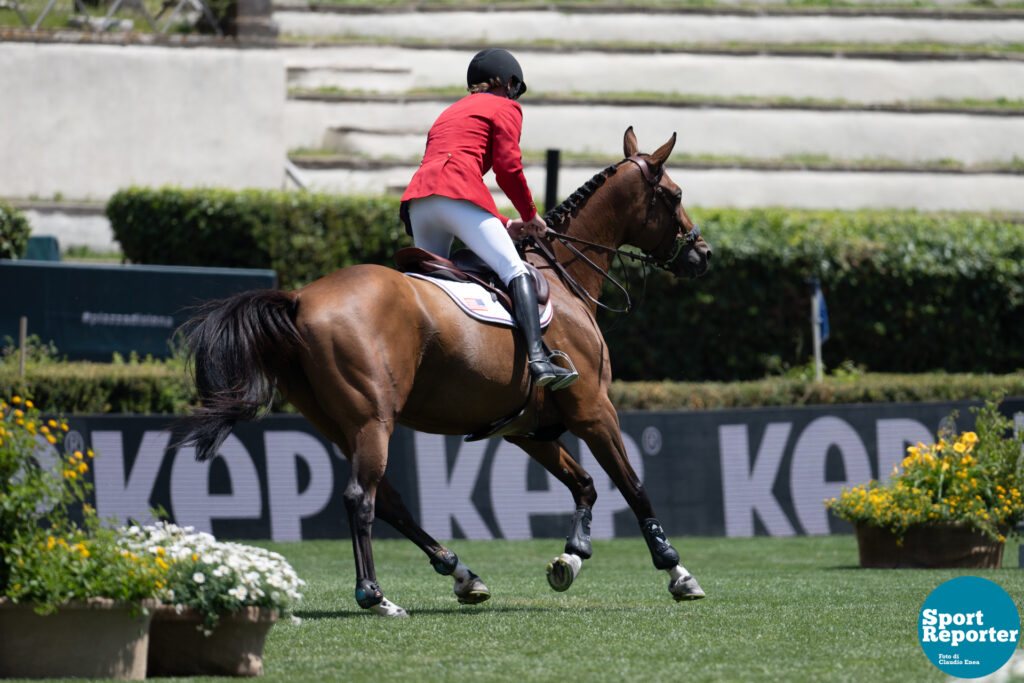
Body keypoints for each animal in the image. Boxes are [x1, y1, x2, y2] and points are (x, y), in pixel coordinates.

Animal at [178, 127, 712, 618]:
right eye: (676, 195)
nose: (703, 254)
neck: (562, 276)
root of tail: (299, 298)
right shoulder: (594, 411)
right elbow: (632, 486)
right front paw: (676, 570)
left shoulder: (528, 429)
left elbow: (585, 485)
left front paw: (571, 558)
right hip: (374, 419)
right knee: (361, 497)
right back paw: (376, 595)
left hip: (339, 425)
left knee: (389, 502)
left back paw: (461, 573)